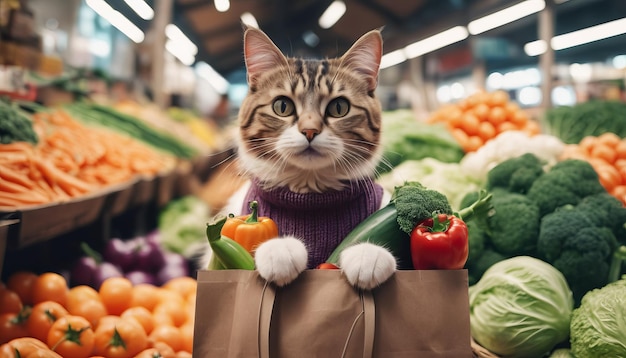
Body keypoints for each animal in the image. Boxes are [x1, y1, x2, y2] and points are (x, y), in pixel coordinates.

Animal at [210, 26, 394, 290]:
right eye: (282, 106)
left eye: (339, 108)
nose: (309, 130)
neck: (309, 190)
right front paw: (280, 250)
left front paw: (368, 254)